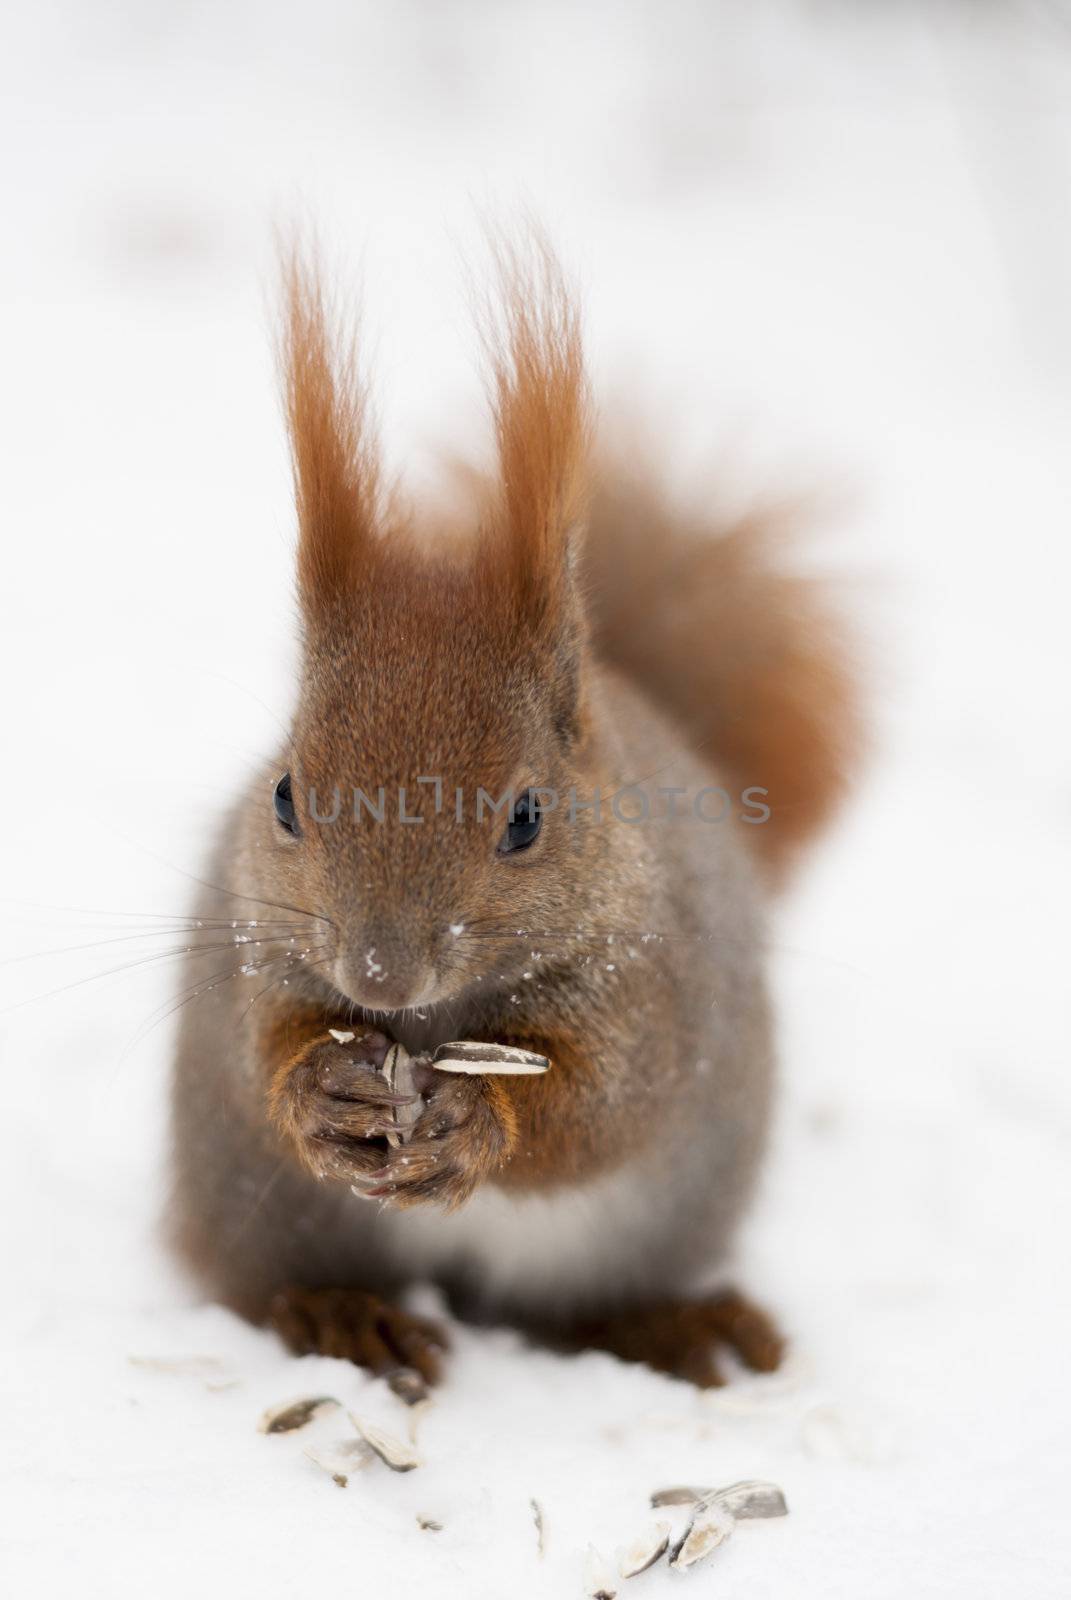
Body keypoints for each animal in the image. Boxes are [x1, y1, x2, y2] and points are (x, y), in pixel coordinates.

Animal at [168, 233, 858, 1388]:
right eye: (284, 798)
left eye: (527, 817)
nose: (378, 976)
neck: (429, 1025)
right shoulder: (252, 942)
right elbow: (261, 1045)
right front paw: (318, 1091)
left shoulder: (654, 991)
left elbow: (600, 1109)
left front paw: (477, 1119)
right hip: (254, 1205)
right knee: (267, 1284)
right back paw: (341, 1313)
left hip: (649, 1227)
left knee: (576, 1310)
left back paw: (671, 1326)